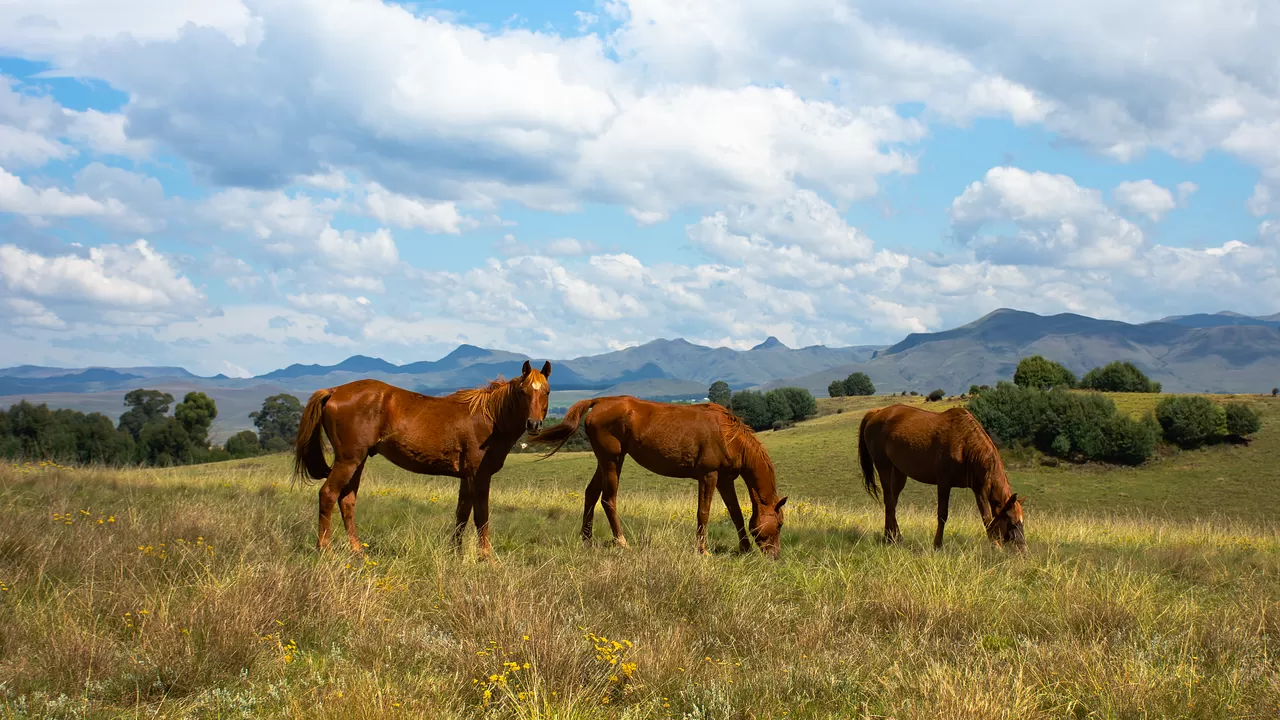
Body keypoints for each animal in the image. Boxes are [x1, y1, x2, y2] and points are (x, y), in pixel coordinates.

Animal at [293, 358, 552, 561]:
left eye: (546, 392)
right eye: (523, 392)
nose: (534, 424)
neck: (490, 418)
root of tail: (334, 390)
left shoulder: (466, 477)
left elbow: (462, 514)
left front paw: (454, 553)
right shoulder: (479, 476)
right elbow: (481, 517)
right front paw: (485, 556)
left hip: (357, 461)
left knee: (347, 501)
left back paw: (357, 550)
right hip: (348, 461)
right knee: (328, 494)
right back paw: (325, 550)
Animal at [524, 397, 783, 556]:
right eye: (779, 524)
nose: (775, 556)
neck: (729, 435)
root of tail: (599, 401)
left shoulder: (725, 480)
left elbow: (736, 514)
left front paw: (745, 548)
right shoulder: (708, 476)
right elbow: (704, 513)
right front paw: (702, 550)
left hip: (605, 461)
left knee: (591, 493)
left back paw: (587, 540)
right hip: (612, 461)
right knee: (608, 499)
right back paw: (622, 541)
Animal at [855, 404, 1024, 548]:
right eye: (1011, 521)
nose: (1022, 550)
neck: (965, 445)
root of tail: (877, 413)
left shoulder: (979, 489)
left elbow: (986, 516)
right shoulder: (944, 483)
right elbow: (944, 514)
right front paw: (938, 545)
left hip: (898, 471)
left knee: (892, 503)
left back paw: (892, 537)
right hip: (883, 466)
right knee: (889, 500)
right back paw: (891, 539)